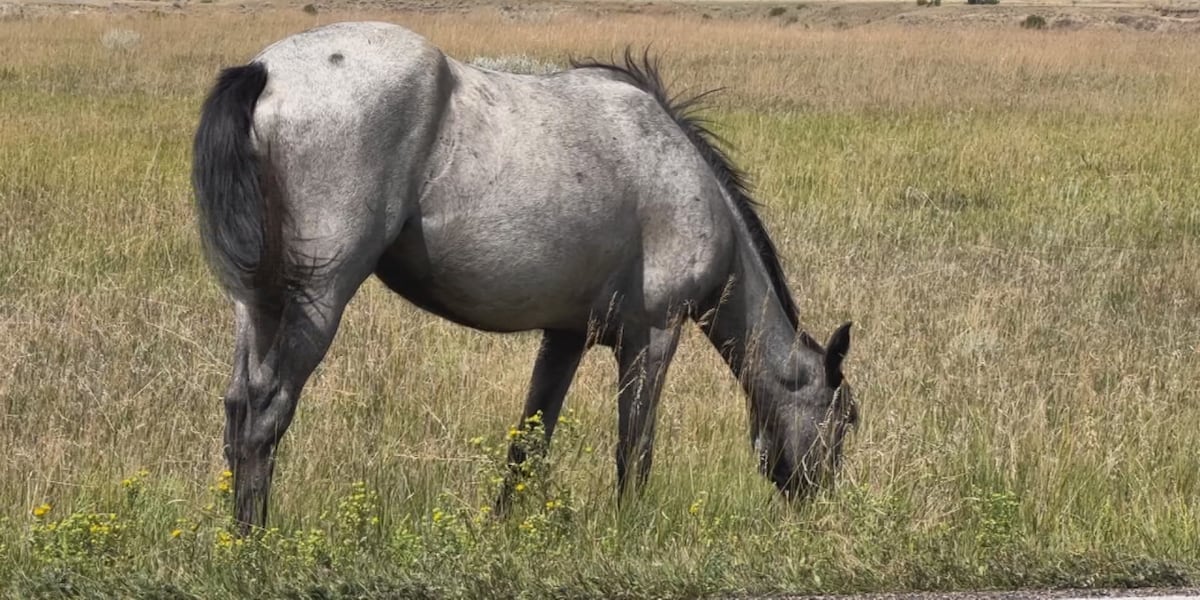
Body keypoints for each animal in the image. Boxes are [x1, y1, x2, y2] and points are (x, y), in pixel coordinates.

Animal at [192, 21, 857, 531]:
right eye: (845, 419)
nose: (823, 510)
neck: (684, 179)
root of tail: (266, 71)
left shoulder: (564, 338)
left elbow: (528, 442)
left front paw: (503, 530)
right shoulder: (655, 334)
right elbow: (634, 447)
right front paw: (630, 532)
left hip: (259, 304)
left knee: (238, 408)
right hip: (317, 298)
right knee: (266, 411)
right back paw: (254, 542)